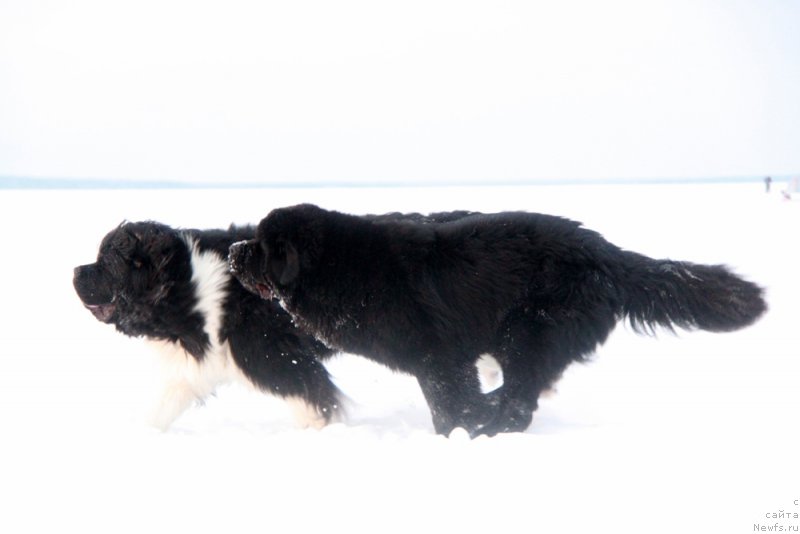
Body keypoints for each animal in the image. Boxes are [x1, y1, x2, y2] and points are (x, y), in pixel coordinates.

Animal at [76, 222, 346, 432]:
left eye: (105, 264)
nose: (75, 271)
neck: (185, 286)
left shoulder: (273, 355)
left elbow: (309, 394)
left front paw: (321, 427)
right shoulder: (193, 365)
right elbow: (160, 408)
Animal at [228, 205, 764, 440]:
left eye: (260, 246)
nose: (232, 250)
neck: (345, 268)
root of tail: (606, 254)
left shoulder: (440, 357)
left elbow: (448, 402)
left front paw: (457, 432)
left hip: (528, 332)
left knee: (521, 398)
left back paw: (492, 425)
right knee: (522, 392)